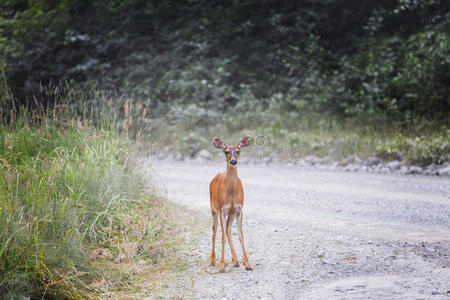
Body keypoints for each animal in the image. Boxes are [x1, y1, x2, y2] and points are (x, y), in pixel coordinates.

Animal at [209, 136, 251, 272]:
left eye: (238, 151)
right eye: (226, 151)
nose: (233, 161)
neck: (232, 195)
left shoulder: (239, 209)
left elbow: (241, 236)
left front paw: (248, 264)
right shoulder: (222, 209)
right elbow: (222, 237)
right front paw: (221, 266)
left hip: (231, 214)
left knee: (228, 229)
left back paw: (236, 260)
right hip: (213, 209)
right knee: (215, 229)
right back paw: (212, 260)